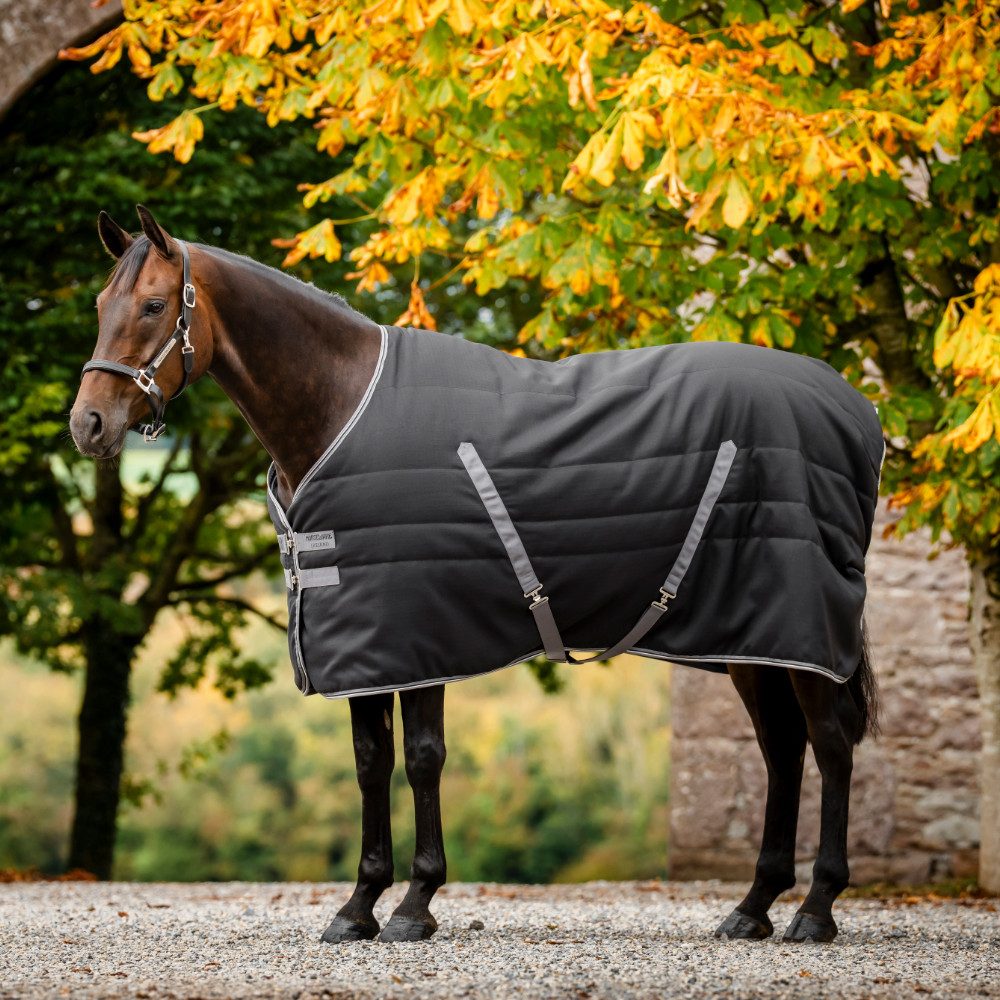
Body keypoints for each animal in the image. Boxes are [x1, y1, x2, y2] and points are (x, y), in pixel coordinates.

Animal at [70, 205, 882, 945]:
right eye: (101, 305)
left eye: (152, 305)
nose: (87, 425)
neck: (338, 405)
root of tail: (856, 407)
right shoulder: (361, 642)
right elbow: (371, 762)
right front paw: (357, 907)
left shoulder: (414, 629)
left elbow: (423, 760)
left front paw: (413, 905)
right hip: (754, 640)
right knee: (783, 748)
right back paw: (753, 907)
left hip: (803, 632)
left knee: (831, 743)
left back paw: (815, 909)